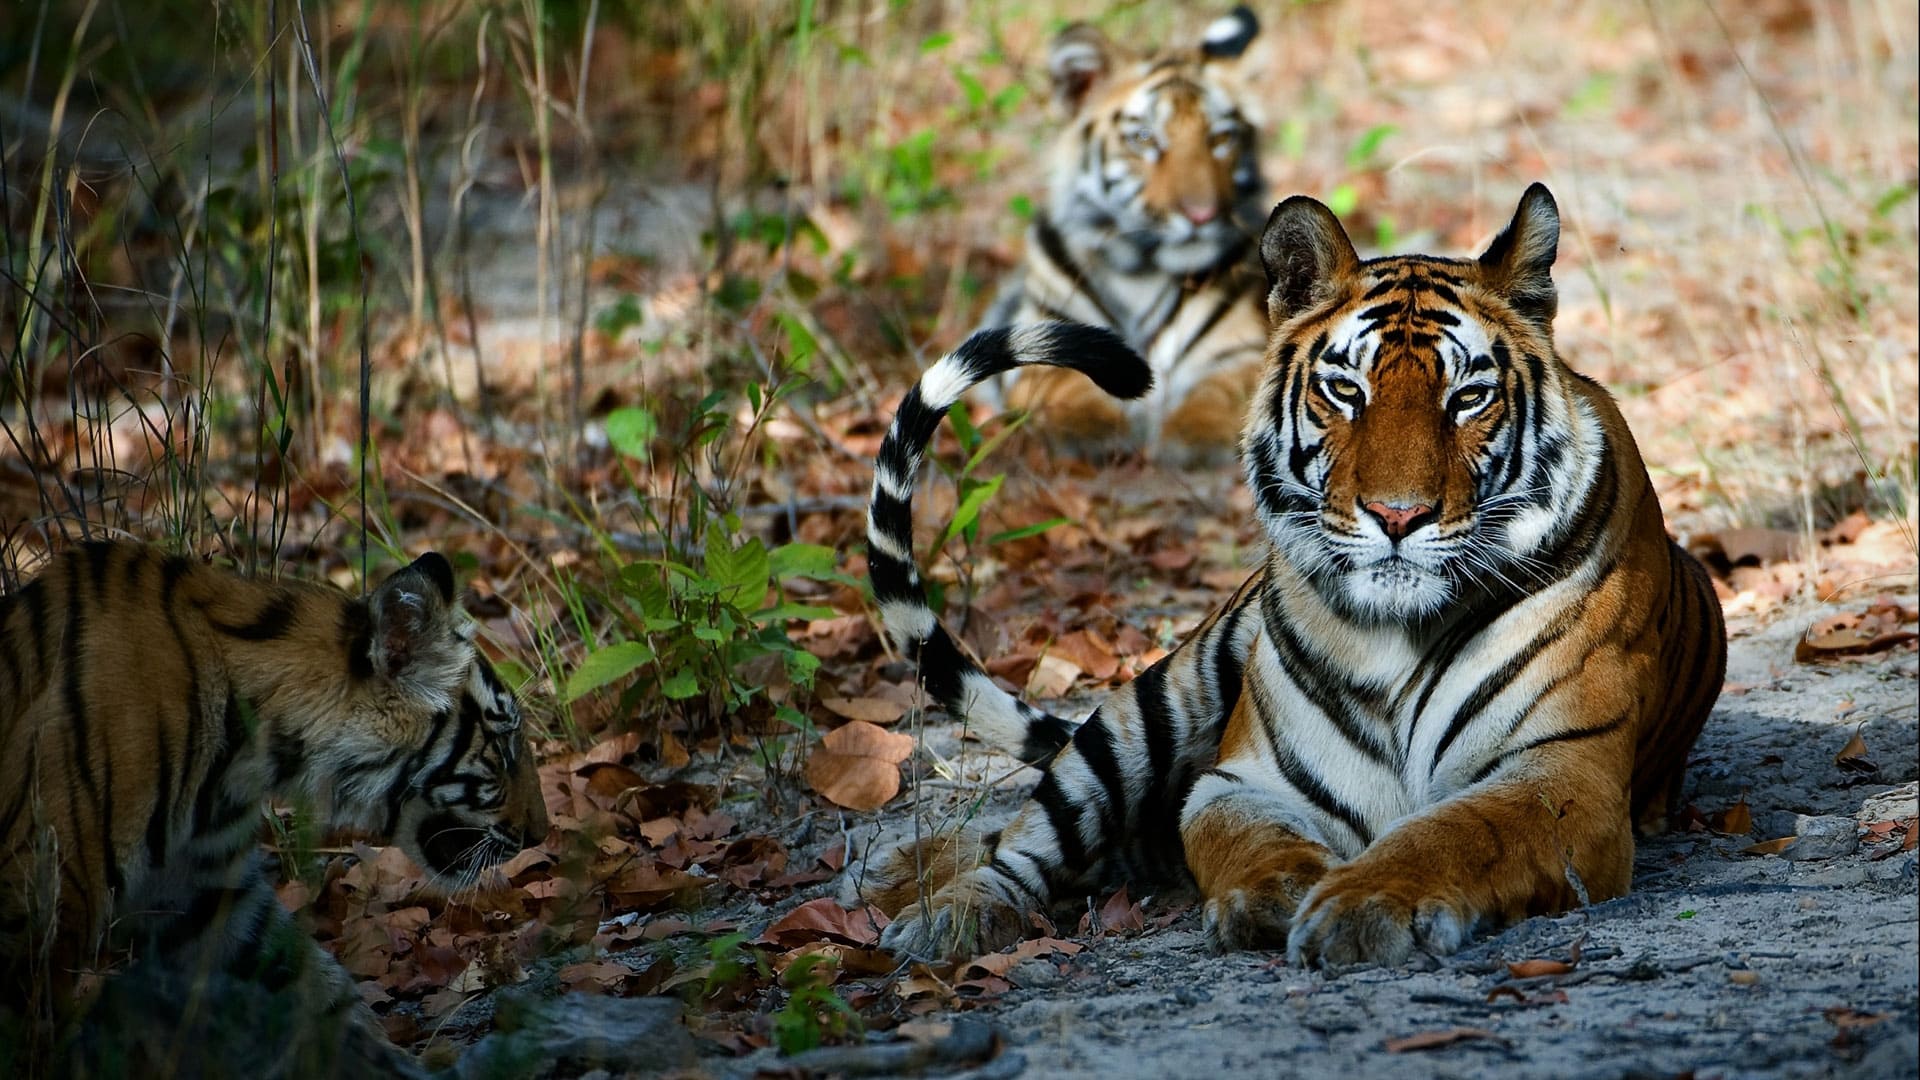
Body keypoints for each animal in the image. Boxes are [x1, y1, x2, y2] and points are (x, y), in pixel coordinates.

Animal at [856, 180, 1728, 960]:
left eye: (1467, 398)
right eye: (1346, 391)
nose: (1399, 517)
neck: (1397, 638)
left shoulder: (1561, 775)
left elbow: (1450, 832)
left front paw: (1363, 905)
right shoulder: (1245, 782)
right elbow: (1246, 840)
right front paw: (1277, 894)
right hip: (1149, 707)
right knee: (1026, 840)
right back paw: (934, 910)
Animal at [975, 5, 1274, 466]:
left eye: (1220, 138)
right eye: (1145, 139)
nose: (1202, 215)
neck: (1140, 270)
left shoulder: (1239, 351)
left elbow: (1226, 391)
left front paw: (1195, 438)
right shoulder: (1038, 337)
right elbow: (1060, 383)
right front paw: (1093, 429)